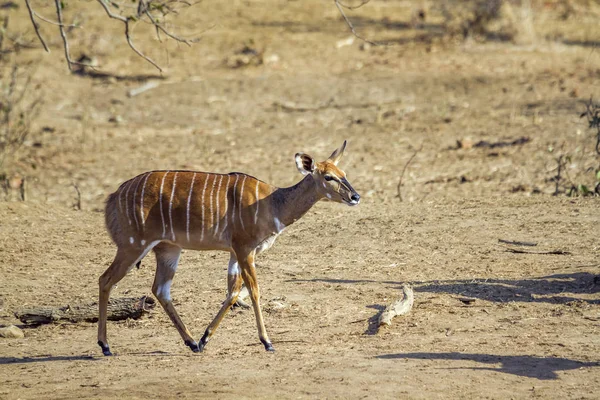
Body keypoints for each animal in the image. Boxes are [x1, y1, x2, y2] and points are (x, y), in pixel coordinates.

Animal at [99, 142, 360, 354]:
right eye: (328, 177)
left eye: (344, 174)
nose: (355, 196)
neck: (272, 204)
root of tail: (113, 196)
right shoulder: (245, 249)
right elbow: (253, 291)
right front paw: (267, 342)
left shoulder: (235, 253)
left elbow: (232, 292)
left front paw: (204, 339)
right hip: (133, 245)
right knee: (106, 279)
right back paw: (105, 345)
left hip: (168, 249)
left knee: (160, 289)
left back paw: (191, 342)